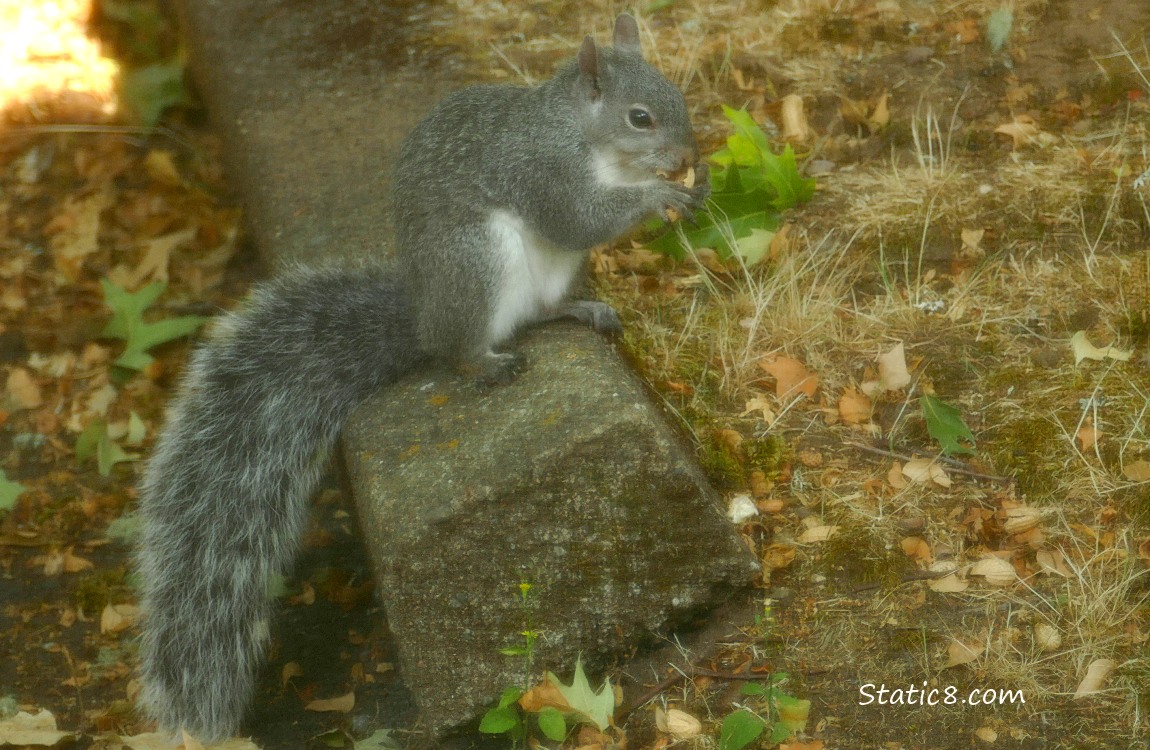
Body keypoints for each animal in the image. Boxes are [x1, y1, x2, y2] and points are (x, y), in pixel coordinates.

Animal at [135, 13, 710, 743]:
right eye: (640, 117)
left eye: (677, 93)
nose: (687, 151)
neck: (585, 137)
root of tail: (422, 321)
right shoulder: (542, 172)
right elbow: (579, 217)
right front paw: (663, 194)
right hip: (477, 262)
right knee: (463, 348)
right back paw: (486, 363)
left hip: (550, 273)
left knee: (538, 313)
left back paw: (578, 310)